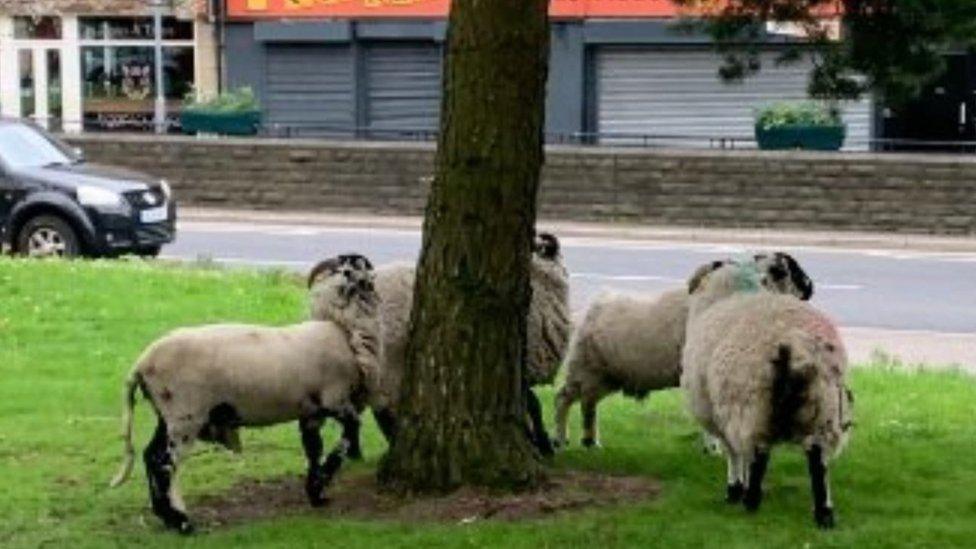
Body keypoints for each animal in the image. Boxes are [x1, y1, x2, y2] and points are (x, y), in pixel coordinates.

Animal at [108, 255, 380, 532]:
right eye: (362, 271)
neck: (340, 328)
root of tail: (141, 364)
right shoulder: (335, 400)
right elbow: (348, 436)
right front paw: (323, 481)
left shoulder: (311, 412)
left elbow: (313, 449)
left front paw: (316, 493)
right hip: (185, 415)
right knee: (165, 462)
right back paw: (182, 522)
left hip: (166, 415)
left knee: (150, 455)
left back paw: (167, 516)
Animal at [344, 231, 572, 454]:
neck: (541, 286)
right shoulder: (518, 362)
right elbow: (533, 404)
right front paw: (543, 443)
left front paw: (537, 440)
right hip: (385, 361)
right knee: (376, 410)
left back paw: (358, 451)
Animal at [552, 250, 812, 448]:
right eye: (788, 269)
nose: (810, 287)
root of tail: (590, 310)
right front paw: (713, 447)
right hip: (584, 368)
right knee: (563, 399)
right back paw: (561, 439)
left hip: (604, 376)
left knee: (588, 404)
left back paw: (590, 442)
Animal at [680, 260, 856, 528]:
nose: (810, 288)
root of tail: (795, 348)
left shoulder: (717, 411)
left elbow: (733, 453)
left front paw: (735, 488)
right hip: (823, 407)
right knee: (818, 460)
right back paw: (824, 512)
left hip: (751, 405)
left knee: (759, 456)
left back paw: (751, 500)